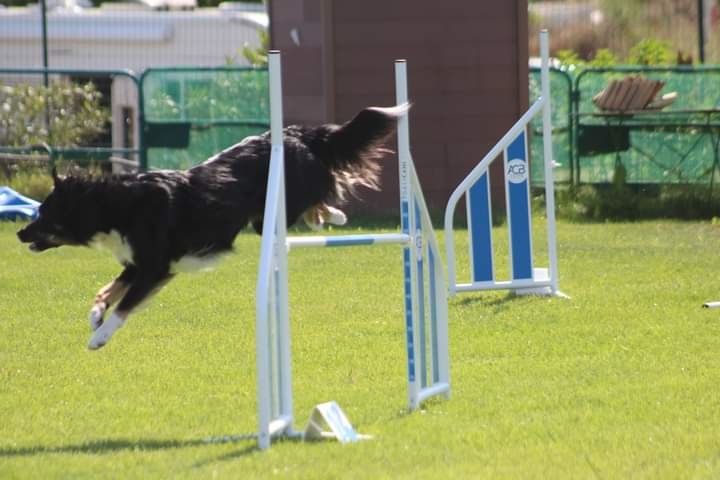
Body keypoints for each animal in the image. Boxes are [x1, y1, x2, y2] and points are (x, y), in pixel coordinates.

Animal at [16, 104, 408, 348]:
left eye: (43, 213)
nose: (19, 233)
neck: (116, 205)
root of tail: (294, 134)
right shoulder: (136, 263)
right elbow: (105, 291)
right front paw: (96, 315)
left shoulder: (155, 267)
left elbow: (125, 305)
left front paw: (99, 337)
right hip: (267, 215)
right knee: (318, 201)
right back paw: (333, 217)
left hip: (275, 209)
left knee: (322, 192)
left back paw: (335, 216)